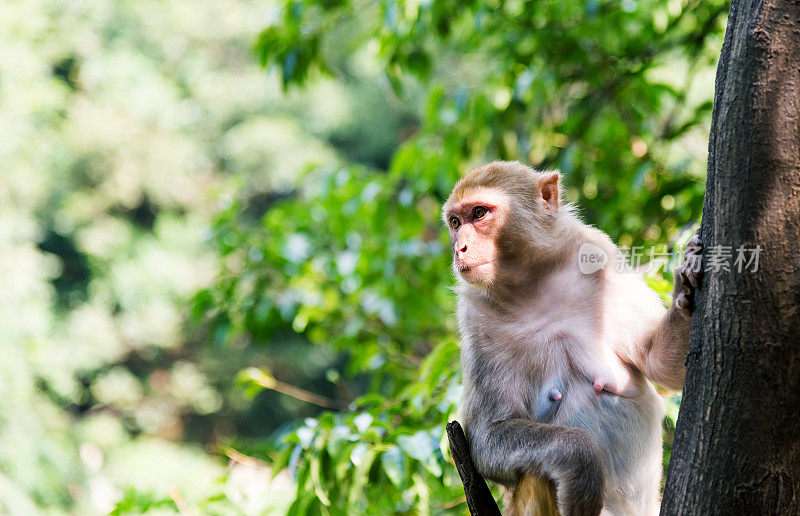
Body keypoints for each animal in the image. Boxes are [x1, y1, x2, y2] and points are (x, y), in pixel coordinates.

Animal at [440, 162, 704, 516]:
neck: (532, 283)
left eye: (479, 213)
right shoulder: (475, 316)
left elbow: (658, 362)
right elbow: (488, 435)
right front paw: (580, 459)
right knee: (536, 473)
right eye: (455, 222)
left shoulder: (598, 255)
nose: (460, 248)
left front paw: (688, 280)